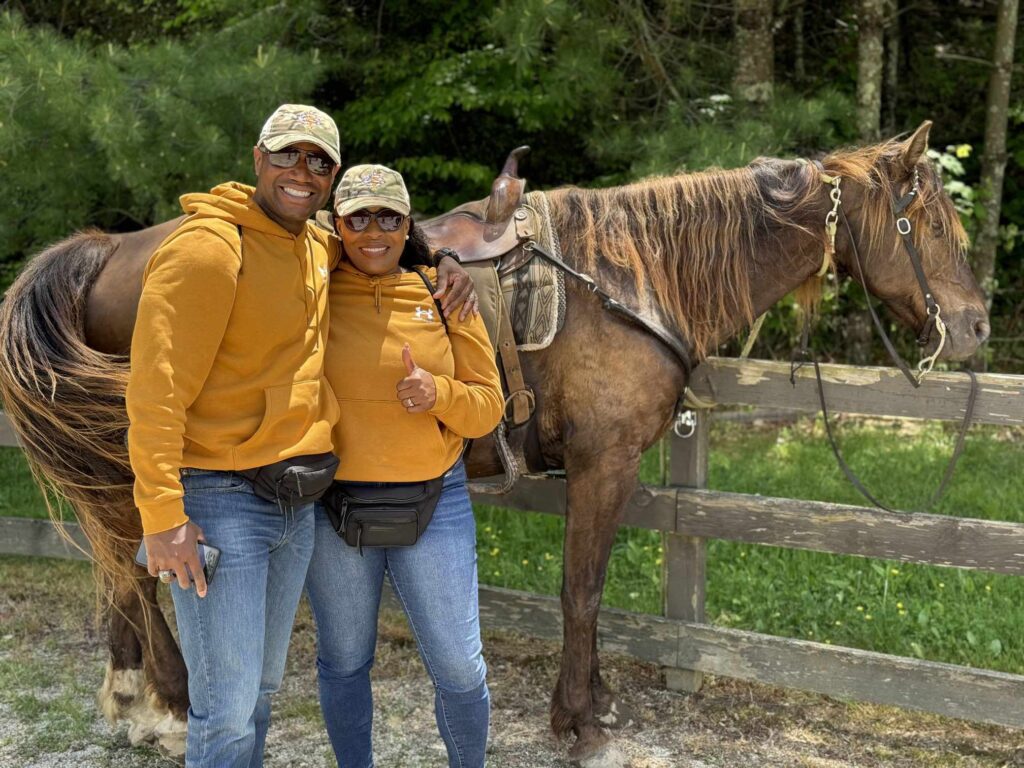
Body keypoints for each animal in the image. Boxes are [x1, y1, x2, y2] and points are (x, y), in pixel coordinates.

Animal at [0, 123, 991, 765]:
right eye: (932, 224)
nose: (979, 327)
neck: (631, 277)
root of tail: (105, 250)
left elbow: (590, 591)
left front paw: (594, 704)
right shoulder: (603, 464)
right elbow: (581, 592)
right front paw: (580, 723)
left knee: (122, 565)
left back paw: (131, 696)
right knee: (143, 568)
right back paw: (168, 705)